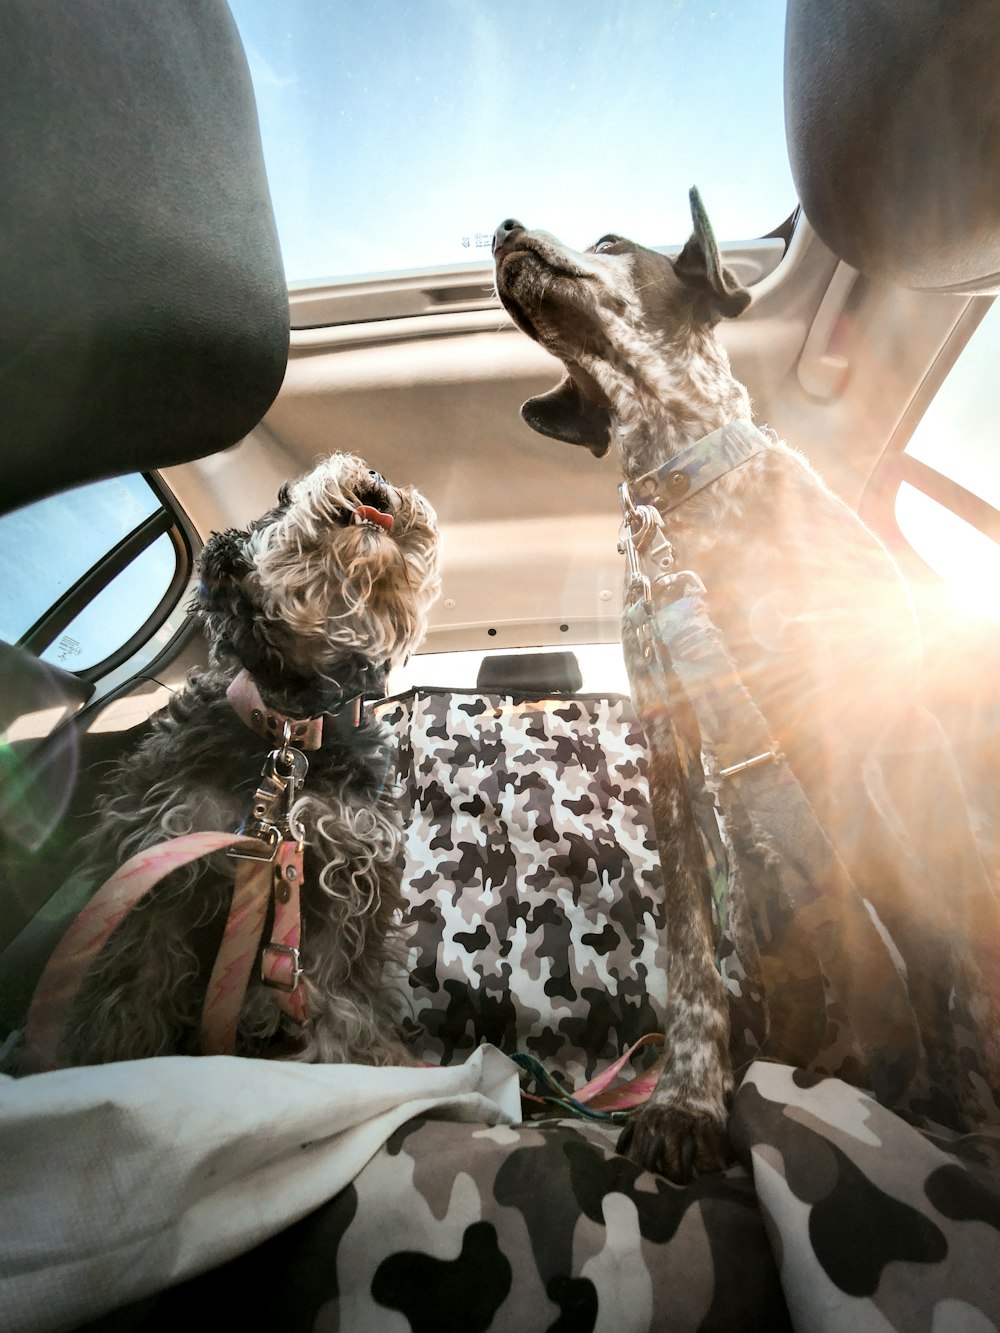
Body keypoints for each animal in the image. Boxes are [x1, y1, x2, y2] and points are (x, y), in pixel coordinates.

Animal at [493, 194, 949, 1178]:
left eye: (612, 242)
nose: (502, 228)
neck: (686, 487)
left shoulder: (845, 695)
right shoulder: (670, 746)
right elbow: (692, 950)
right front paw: (688, 1099)